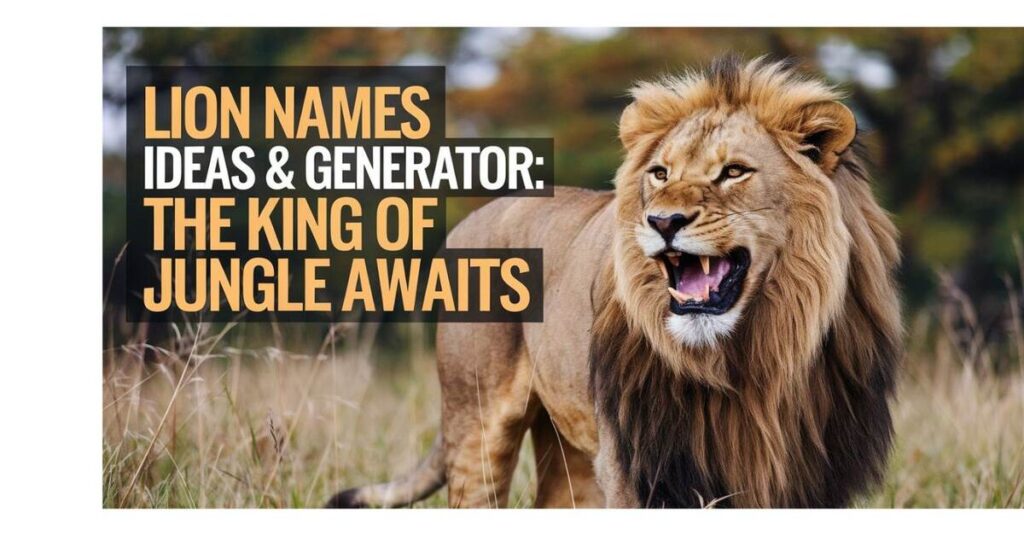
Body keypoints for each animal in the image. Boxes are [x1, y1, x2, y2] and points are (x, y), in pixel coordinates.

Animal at [327, 56, 903, 508]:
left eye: (734, 172)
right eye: (660, 174)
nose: (663, 221)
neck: (752, 358)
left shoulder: (814, 473)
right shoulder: (634, 467)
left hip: (568, 450)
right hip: (477, 421)